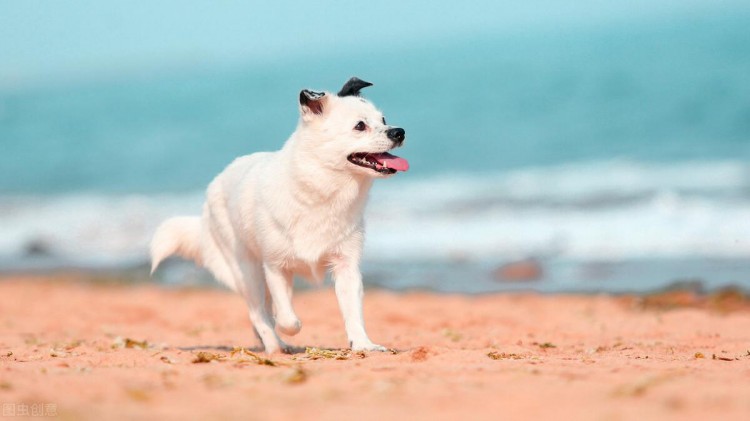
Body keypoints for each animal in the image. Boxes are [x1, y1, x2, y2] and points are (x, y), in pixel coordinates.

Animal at [150, 78, 408, 352]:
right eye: (360, 126)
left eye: (383, 119)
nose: (399, 131)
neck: (320, 190)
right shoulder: (275, 267)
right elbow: (287, 319)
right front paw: (288, 329)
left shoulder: (346, 265)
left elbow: (353, 311)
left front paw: (363, 344)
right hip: (248, 270)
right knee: (258, 313)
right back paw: (275, 345)